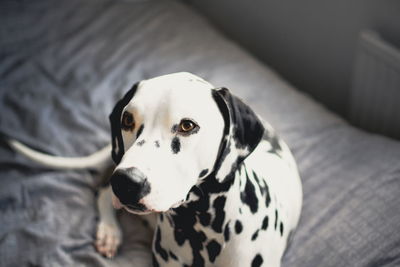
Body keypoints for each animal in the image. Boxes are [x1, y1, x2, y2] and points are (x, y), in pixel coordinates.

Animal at [7, 72, 302, 266]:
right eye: (127, 119)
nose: (126, 182)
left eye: (187, 125)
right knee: (102, 192)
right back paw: (109, 232)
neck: (197, 230)